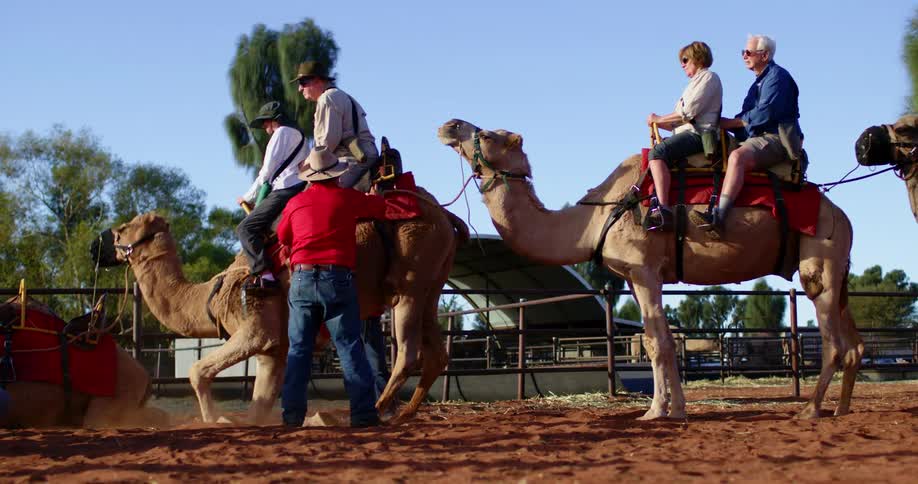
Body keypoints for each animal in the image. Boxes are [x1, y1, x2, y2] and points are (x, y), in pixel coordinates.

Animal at [94, 187, 467, 425]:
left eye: (123, 229)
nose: (95, 246)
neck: (211, 296)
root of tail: (445, 215)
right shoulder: (272, 350)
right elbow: (259, 403)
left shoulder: (256, 330)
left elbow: (198, 370)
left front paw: (217, 419)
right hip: (432, 284)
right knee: (436, 353)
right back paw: (404, 413)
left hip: (410, 283)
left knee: (407, 351)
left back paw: (362, 412)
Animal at [439, 119, 863, 420]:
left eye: (488, 133)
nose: (449, 124)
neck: (597, 217)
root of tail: (842, 216)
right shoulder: (637, 276)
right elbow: (653, 340)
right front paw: (674, 409)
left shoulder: (644, 269)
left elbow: (658, 342)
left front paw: (656, 411)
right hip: (836, 269)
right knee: (854, 344)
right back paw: (841, 409)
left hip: (819, 262)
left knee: (833, 341)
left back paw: (810, 410)